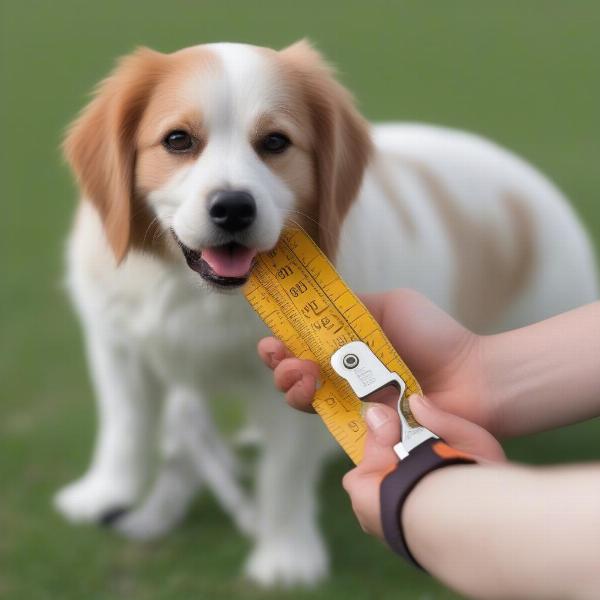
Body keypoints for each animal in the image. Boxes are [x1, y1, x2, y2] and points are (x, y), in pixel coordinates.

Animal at [54, 39, 596, 584]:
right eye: (178, 140)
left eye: (275, 142)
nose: (233, 207)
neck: (196, 297)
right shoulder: (116, 345)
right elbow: (126, 422)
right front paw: (106, 493)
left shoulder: (298, 377)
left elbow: (283, 469)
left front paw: (285, 554)